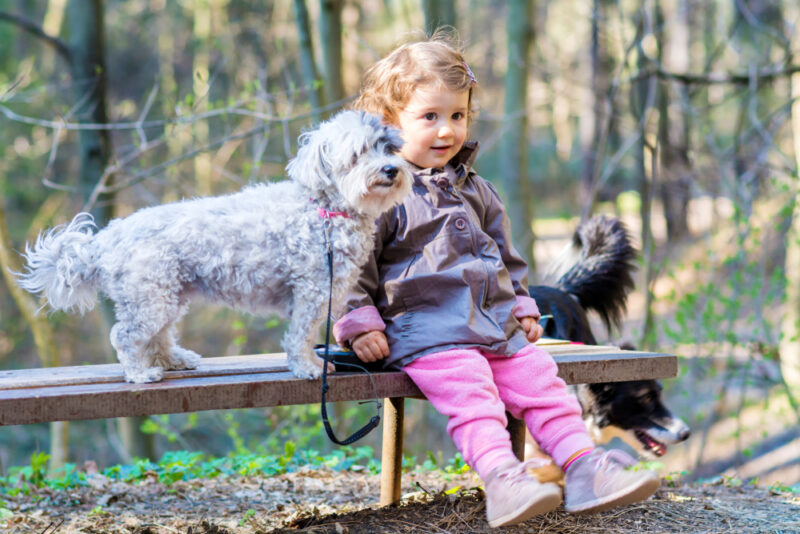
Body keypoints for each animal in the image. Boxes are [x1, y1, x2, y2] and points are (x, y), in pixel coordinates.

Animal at [17, 111, 412, 384]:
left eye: (389, 147)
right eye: (358, 153)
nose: (391, 169)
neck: (324, 208)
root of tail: (106, 240)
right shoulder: (312, 292)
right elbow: (301, 335)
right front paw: (308, 367)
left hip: (167, 295)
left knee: (159, 337)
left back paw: (174, 360)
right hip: (151, 299)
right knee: (126, 336)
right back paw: (140, 374)